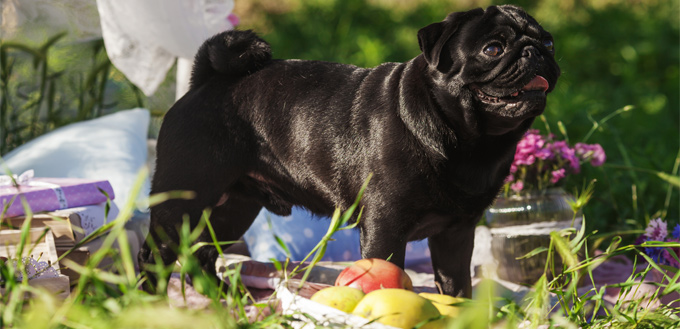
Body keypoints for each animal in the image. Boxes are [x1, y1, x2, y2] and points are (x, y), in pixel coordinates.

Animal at [138, 4, 556, 298]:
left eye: (549, 42)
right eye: (492, 48)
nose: (535, 52)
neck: (471, 141)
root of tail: (205, 80)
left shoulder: (455, 233)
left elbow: (455, 285)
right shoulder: (385, 228)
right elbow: (391, 274)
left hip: (232, 209)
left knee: (202, 253)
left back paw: (222, 296)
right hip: (181, 202)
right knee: (155, 256)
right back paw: (149, 302)